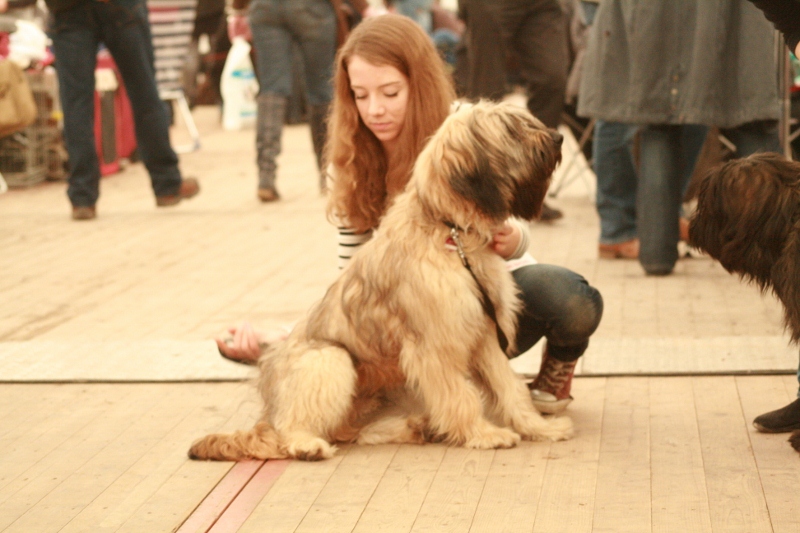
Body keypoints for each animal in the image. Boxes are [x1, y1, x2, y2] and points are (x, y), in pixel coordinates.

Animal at [188, 103, 576, 462]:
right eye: (511, 128)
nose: (558, 138)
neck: (449, 228)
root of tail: (267, 411)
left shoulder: (483, 334)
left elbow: (511, 389)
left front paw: (538, 427)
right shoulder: (435, 345)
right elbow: (459, 395)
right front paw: (483, 434)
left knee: (350, 431)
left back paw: (413, 427)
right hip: (330, 359)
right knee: (297, 427)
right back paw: (307, 444)